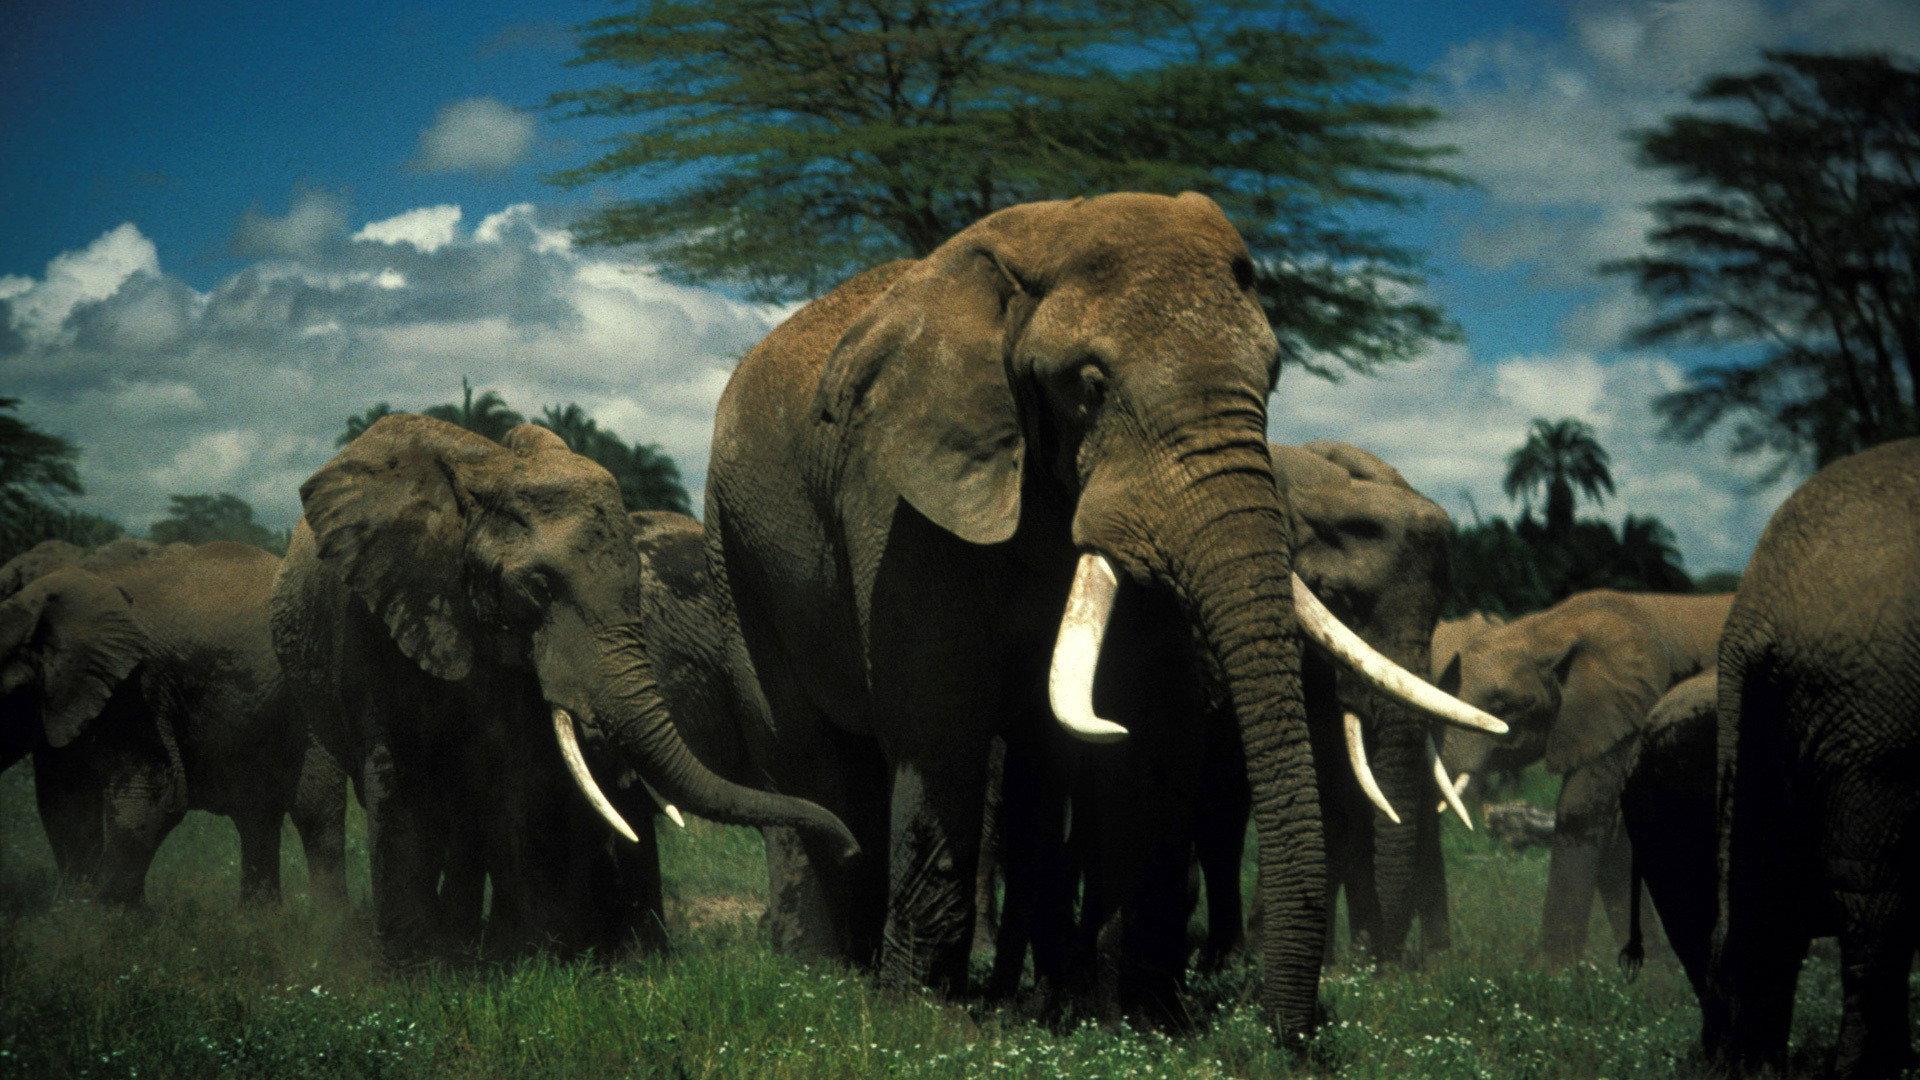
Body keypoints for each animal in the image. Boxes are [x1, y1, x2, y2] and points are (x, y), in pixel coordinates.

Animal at [0, 541, 345, 904]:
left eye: (8, 695)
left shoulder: (137, 689)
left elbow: (151, 797)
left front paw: (105, 911)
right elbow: (63, 802)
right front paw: (72, 905)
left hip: (311, 691)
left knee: (314, 807)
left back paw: (326, 916)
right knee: (256, 811)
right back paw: (258, 915)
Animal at [270, 414, 856, 964]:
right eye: (536, 588)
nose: (851, 846)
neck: (485, 474)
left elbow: (517, 779)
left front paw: (532, 957)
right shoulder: (373, 615)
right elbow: (397, 777)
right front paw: (418, 972)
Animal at [700, 192, 1502, 1041]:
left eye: (1274, 377)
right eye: (1088, 384)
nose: (1289, 1034)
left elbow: (1137, 730)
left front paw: (1131, 1018)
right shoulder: (903, 498)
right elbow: (939, 725)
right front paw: (921, 1018)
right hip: (733, 539)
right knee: (804, 753)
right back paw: (823, 970)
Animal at [1437, 588, 1732, 963]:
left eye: (1505, 707)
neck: (1551, 628)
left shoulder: (1632, 713)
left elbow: (1582, 811)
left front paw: (1554, 974)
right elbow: (1613, 829)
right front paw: (1649, 974)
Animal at [1708, 437, 1920, 1078]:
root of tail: (1757, 608)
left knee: (1766, 889)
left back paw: (1750, 1068)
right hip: (1874, 717)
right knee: (1873, 909)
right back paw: (1871, 1069)